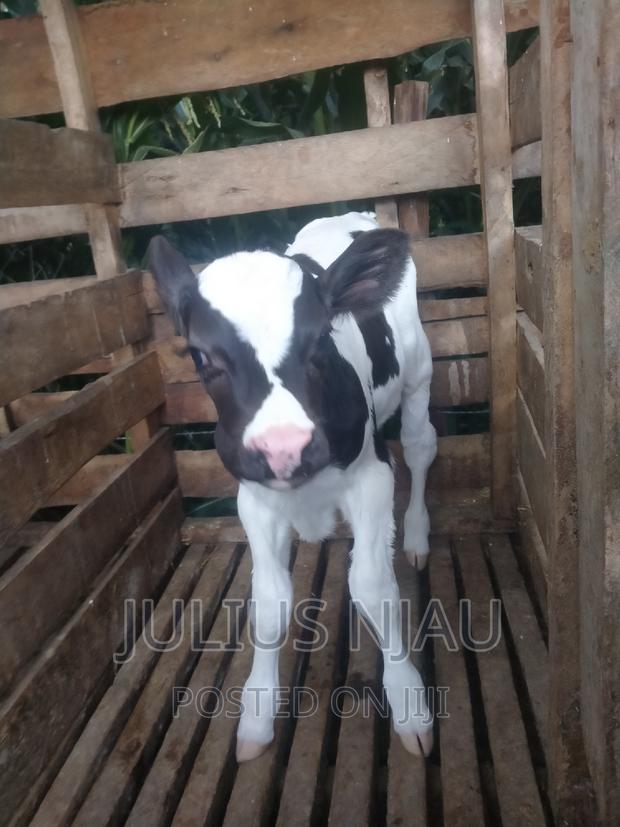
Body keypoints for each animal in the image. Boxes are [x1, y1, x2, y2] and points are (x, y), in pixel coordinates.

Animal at [148, 211, 437, 763]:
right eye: (201, 356)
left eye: (323, 338)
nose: (285, 447)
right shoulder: (254, 499)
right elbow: (268, 602)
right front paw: (258, 711)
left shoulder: (372, 478)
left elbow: (373, 586)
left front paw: (409, 701)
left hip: (418, 371)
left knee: (419, 444)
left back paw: (415, 536)